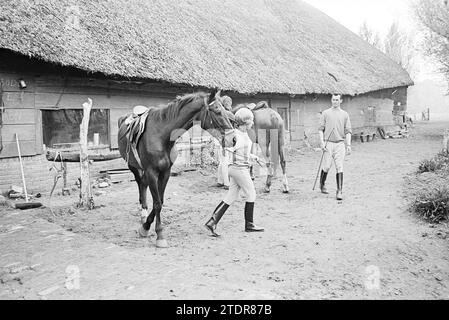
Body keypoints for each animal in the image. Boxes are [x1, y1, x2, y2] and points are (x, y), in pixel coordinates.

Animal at [117, 89, 233, 248]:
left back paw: (144, 215)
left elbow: (160, 200)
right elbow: (157, 203)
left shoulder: (165, 172)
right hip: (133, 165)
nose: (233, 139)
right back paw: (143, 212)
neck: (162, 135)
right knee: (140, 183)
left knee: (143, 184)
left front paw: (146, 226)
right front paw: (157, 234)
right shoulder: (152, 172)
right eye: (217, 111)